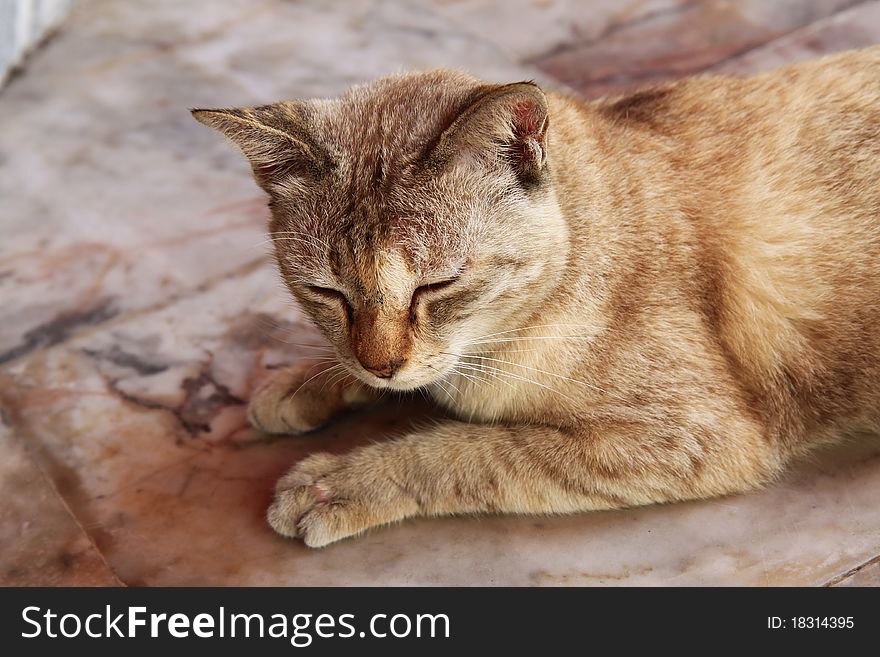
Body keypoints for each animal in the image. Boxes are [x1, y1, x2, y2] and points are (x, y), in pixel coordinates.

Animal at [194, 46, 880, 544]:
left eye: (437, 285)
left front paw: (337, 483)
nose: (382, 364)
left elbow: (462, 451)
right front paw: (299, 386)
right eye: (326, 292)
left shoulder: (696, 438)